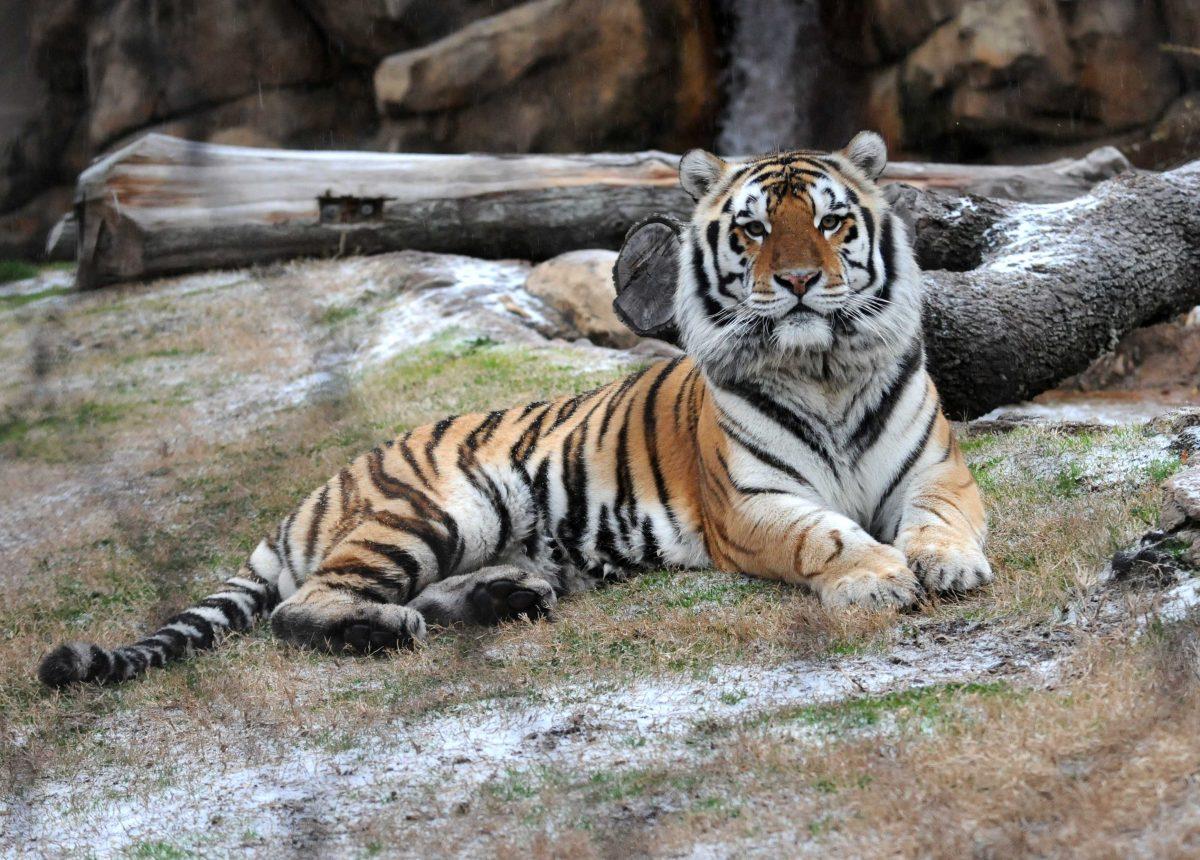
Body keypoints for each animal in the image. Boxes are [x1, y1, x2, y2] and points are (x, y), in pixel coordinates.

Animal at [39, 130, 993, 686]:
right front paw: (876, 577)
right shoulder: (753, 505)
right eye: (755, 229)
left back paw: (510, 596)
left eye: (831, 223)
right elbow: (825, 536)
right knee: (303, 606)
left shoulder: (939, 472)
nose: (796, 282)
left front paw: (947, 564)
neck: (823, 366)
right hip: (440, 508)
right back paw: (384, 630)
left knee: (420, 595)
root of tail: (315, 492)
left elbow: (939, 522)